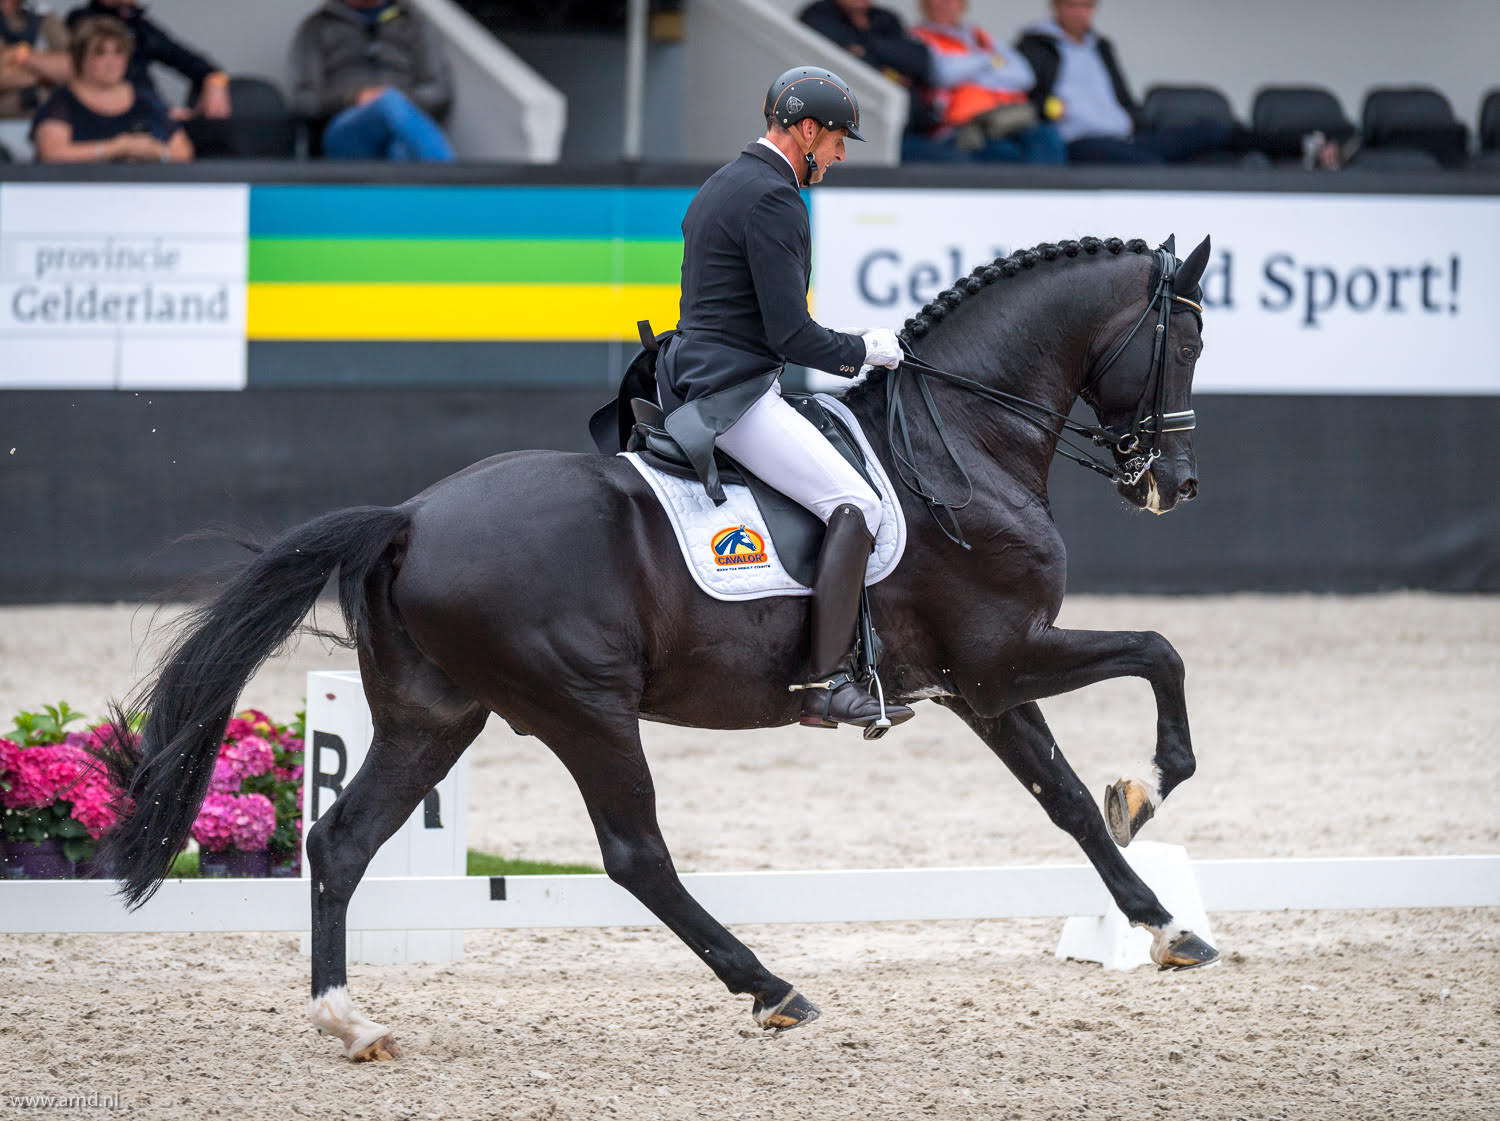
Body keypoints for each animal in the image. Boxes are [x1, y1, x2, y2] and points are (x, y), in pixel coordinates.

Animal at [94, 233, 1215, 1062]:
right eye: (1187, 342)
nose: (1175, 485)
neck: (960, 442)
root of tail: (408, 516)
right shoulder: (1002, 655)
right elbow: (1161, 650)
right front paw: (1151, 784)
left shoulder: (975, 683)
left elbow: (1067, 800)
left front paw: (1166, 922)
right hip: (583, 707)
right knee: (637, 853)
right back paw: (772, 987)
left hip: (434, 715)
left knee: (341, 841)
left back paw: (349, 1018)